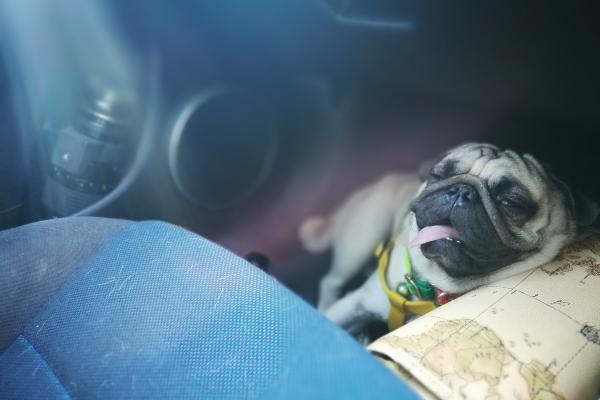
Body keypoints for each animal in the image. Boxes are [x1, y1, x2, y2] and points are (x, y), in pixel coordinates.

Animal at [299, 143, 599, 334]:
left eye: (510, 202)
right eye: (438, 175)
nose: (461, 191)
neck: (433, 286)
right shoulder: (355, 304)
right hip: (363, 236)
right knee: (332, 281)